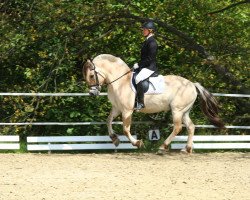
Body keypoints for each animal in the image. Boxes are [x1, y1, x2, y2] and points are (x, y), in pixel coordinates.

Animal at [82, 54, 225, 154]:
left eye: (91, 76)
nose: (92, 93)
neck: (120, 81)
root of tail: (192, 84)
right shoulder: (117, 108)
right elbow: (108, 121)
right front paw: (114, 139)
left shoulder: (127, 110)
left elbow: (126, 130)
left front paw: (137, 143)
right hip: (184, 111)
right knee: (191, 127)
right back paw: (187, 149)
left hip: (177, 110)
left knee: (178, 127)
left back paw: (163, 147)